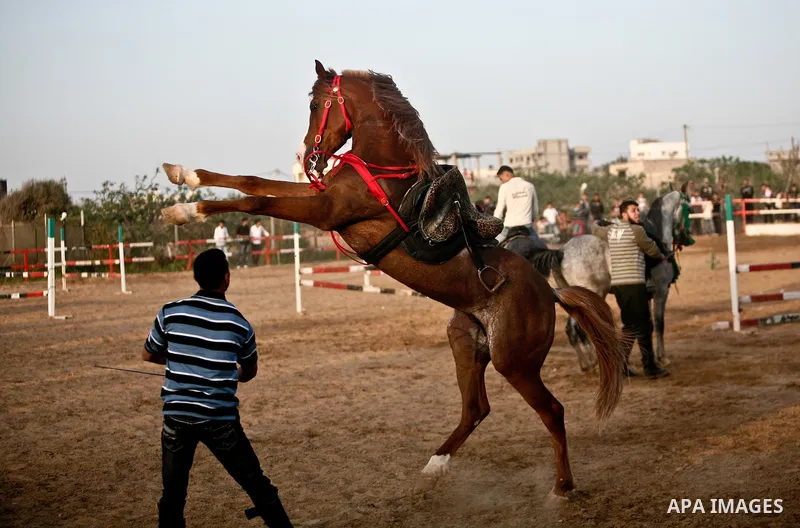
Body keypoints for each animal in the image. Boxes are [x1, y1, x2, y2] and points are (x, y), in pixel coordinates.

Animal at [159, 60, 626, 500]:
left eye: (316, 105)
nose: (310, 156)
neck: (384, 170)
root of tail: (549, 291)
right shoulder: (319, 197)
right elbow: (252, 181)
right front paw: (183, 176)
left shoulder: (324, 209)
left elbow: (256, 199)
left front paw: (185, 210)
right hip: (467, 343)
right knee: (476, 409)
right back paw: (434, 467)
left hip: (515, 361)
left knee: (552, 412)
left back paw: (561, 488)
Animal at [538, 190, 693, 371]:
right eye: (689, 208)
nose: (688, 239)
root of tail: (561, 251)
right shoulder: (661, 291)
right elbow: (659, 324)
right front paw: (662, 358)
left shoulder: (645, 296)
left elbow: (645, 325)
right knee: (583, 329)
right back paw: (595, 361)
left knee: (572, 329)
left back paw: (587, 363)